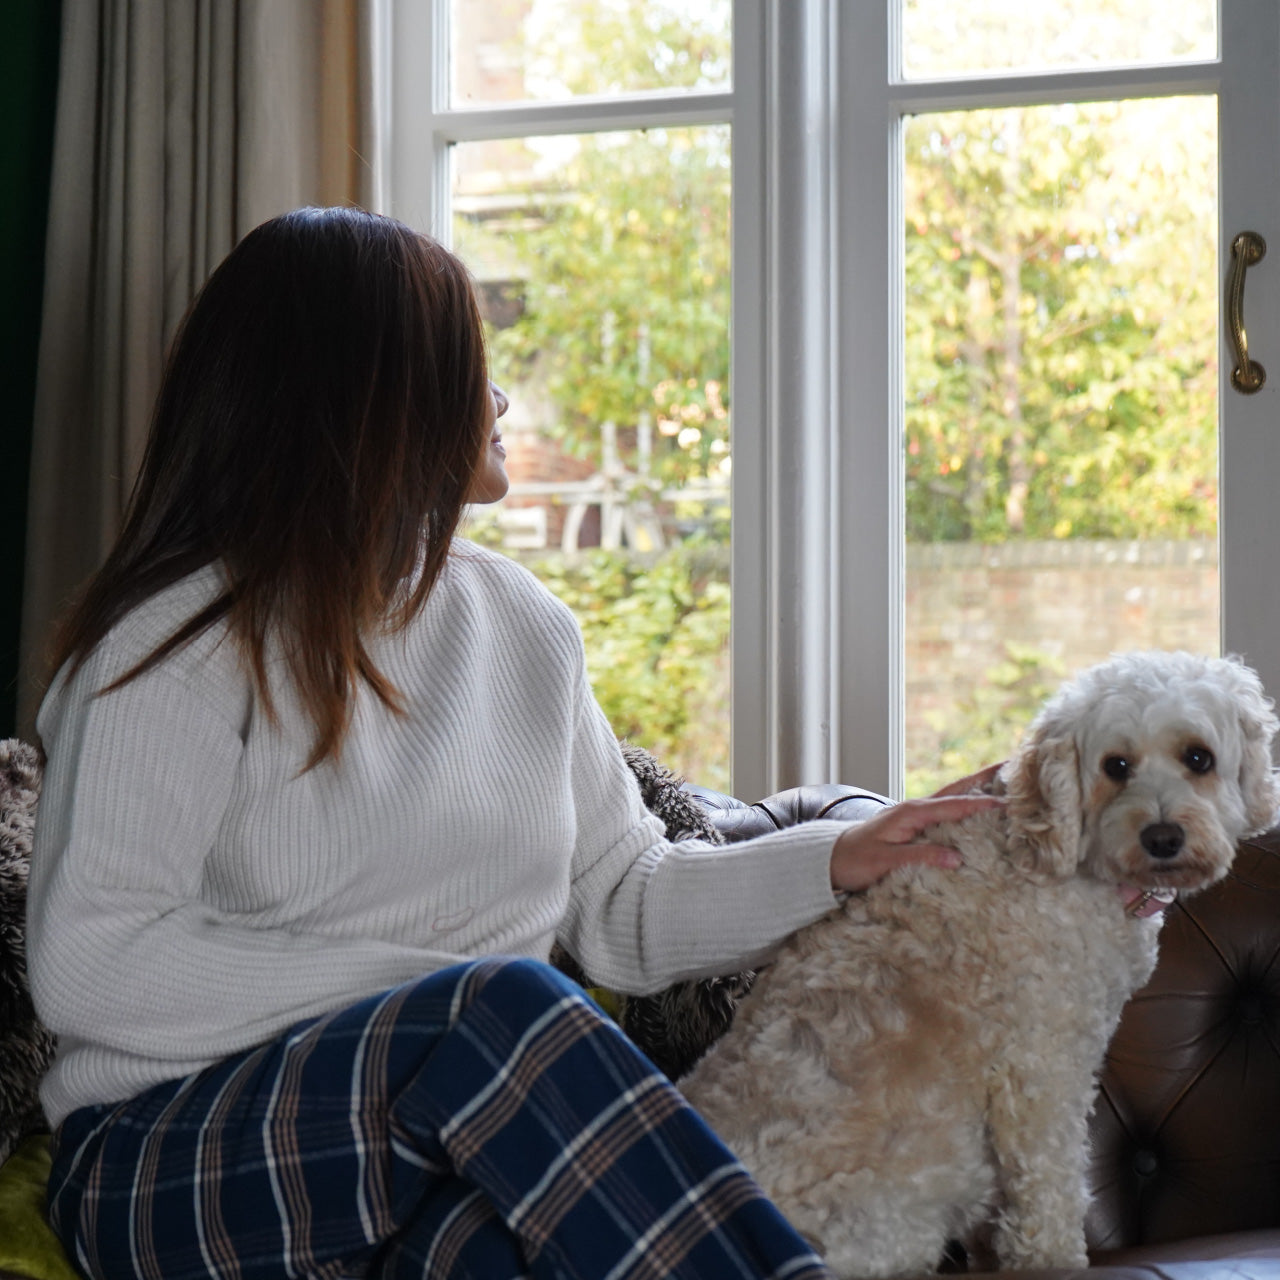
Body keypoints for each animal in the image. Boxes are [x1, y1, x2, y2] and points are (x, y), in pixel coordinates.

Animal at [680, 655, 1280, 1274]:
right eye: (1116, 766)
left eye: (1198, 758)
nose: (1162, 838)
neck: (1054, 856)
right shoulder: (1043, 1068)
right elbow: (1050, 1186)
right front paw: (1053, 1258)